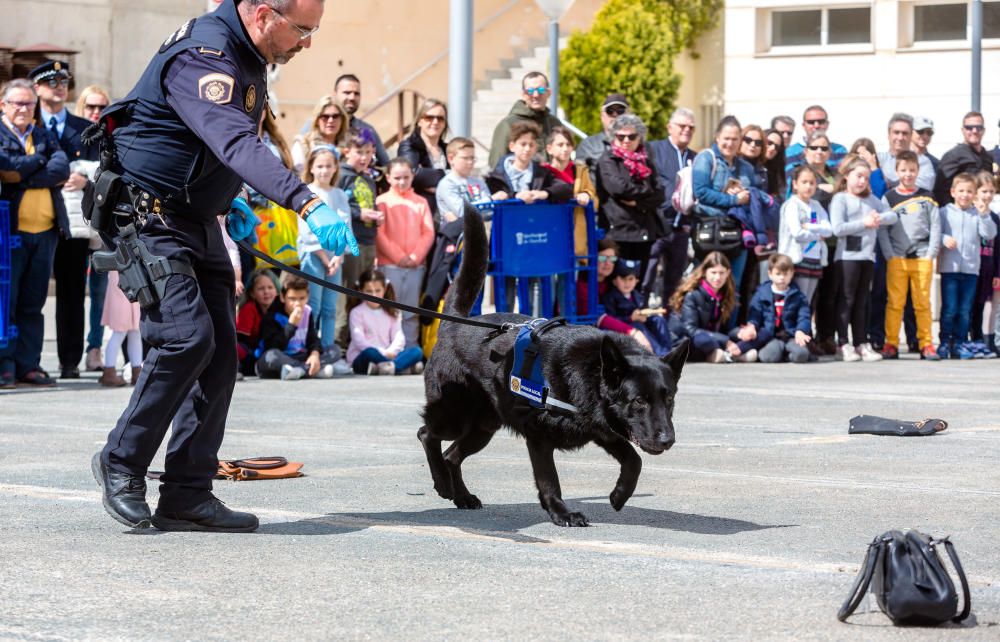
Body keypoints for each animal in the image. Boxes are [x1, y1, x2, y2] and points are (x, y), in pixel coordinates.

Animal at [416, 206, 688, 524]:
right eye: (639, 401)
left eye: (669, 400)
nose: (667, 440)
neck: (590, 373)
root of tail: (454, 323)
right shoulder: (540, 437)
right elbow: (550, 480)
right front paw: (561, 512)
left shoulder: (603, 430)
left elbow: (634, 460)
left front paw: (620, 495)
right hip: (455, 416)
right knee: (427, 435)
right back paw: (442, 483)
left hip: (483, 428)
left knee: (451, 456)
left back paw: (460, 495)